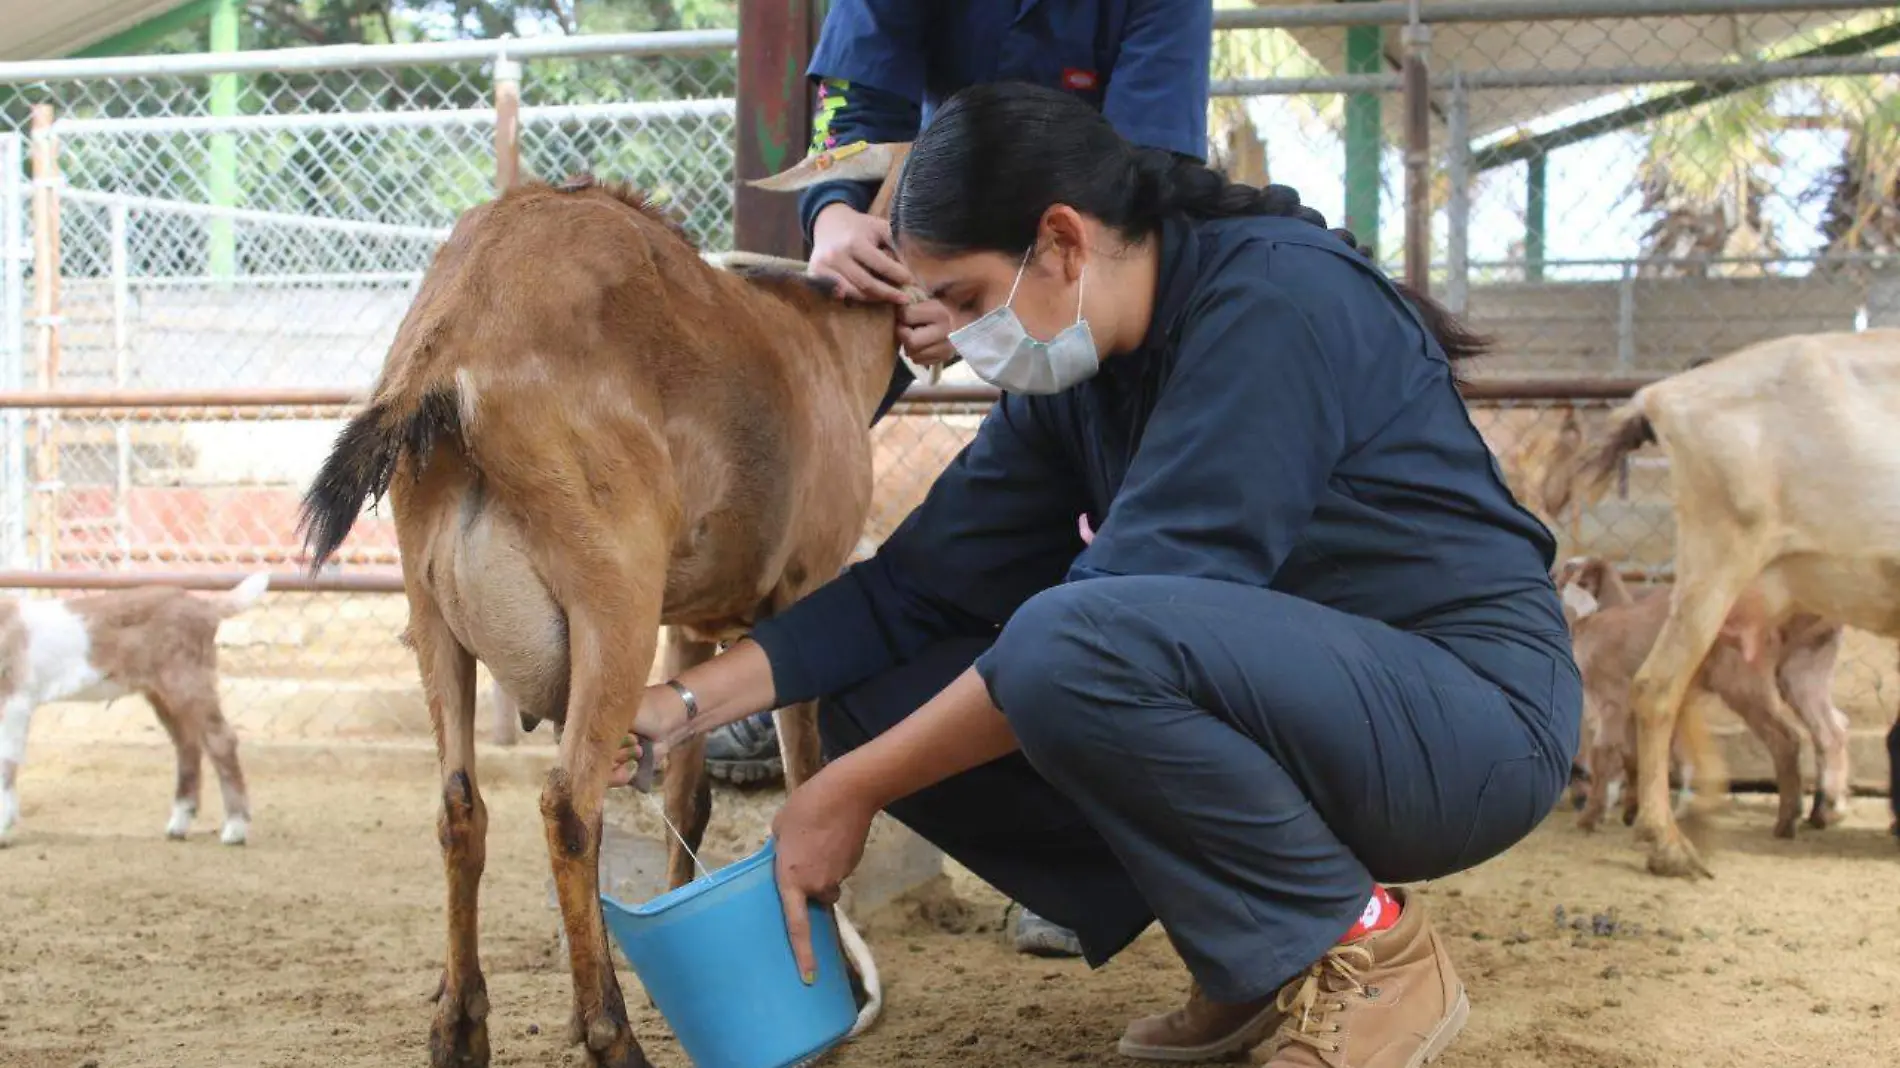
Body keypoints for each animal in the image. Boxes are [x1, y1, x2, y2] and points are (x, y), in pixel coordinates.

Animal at [298, 145, 912, 1064]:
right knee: (568, 806)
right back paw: (610, 1035)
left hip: (432, 614)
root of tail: (451, 353)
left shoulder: (692, 625)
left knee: (458, 808)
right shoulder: (803, 586)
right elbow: (807, 777)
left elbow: (688, 797)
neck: (827, 344)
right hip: (610, 602)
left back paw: (459, 1027)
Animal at [1558, 558, 1839, 839]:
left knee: (1786, 738)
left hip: (1744, 685)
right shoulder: (1637, 708)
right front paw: (1631, 811)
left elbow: (1605, 754)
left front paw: (1590, 818)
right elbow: (1634, 755)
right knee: (1823, 733)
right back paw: (1816, 813)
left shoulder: (1613, 701)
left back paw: (1787, 821)